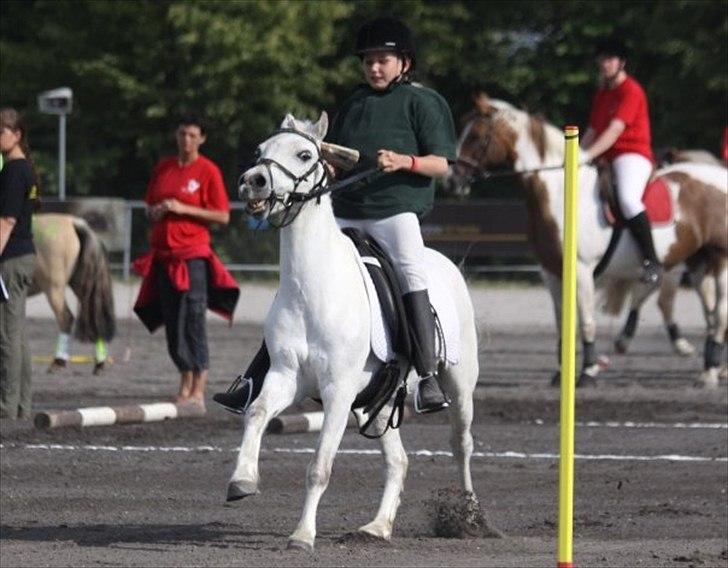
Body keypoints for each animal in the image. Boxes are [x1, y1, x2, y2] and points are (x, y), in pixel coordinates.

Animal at [31, 213, 116, 372]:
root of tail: (74, 223)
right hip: (82, 284)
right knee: (94, 314)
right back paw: (99, 362)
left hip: (53, 288)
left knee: (66, 318)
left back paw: (58, 361)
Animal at [228, 112, 484, 552]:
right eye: (261, 150)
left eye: (304, 154)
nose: (254, 181)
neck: (312, 288)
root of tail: (447, 264)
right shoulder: (286, 376)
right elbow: (257, 413)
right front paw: (242, 480)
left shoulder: (339, 391)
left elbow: (319, 467)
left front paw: (302, 535)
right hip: (375, 405)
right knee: (398, 461)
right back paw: (377, 527)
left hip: (458, 383)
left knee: (461, 445)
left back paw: (467, 518)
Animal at [444, 97, 728, 388]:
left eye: (476, 136)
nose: (451, 180)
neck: (558, 192)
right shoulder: (551, 273)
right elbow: (562, 324)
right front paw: (562, 374)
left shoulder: (581, 270)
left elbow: (587, 322)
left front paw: (588, 371)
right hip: (698, 261)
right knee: (709, 313)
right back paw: (710, 369)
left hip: (720, 260)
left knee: (719, 313)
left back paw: (709, 369)